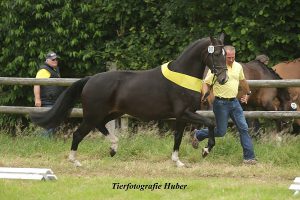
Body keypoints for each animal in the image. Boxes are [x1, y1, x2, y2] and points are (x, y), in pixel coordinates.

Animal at [29, 34, 227, 167]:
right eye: (216, 53)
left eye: (225, 54)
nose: (224, 78)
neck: (183, 75)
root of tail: (90, 79)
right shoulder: (185, 113)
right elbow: (211, 122)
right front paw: (206, 150)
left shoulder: (182, 116)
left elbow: (178, 137)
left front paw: (178, 162)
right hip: (93, 114)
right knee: (78, 133)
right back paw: (75, 161)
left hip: (113, 112)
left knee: (101, 126)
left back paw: (113, 148)